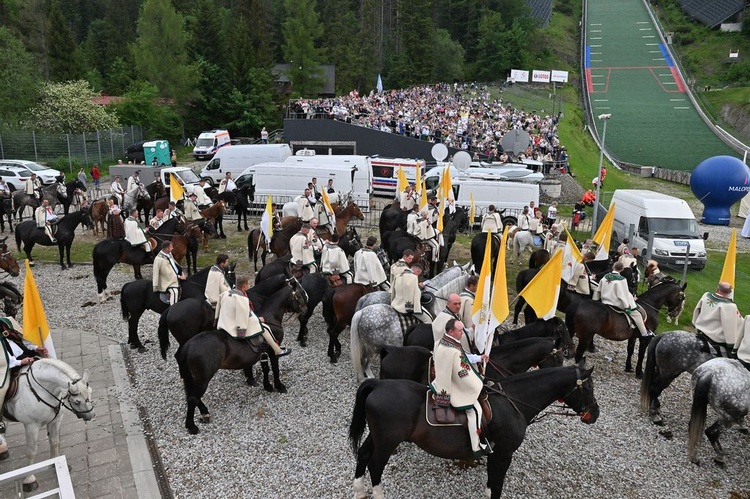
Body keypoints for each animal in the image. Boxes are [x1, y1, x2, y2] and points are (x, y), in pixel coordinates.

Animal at [0, 360, 94, 492]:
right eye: (77, 401)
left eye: (91, 392)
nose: (91, 415)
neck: (40, 390)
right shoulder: (31, 426)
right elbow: (31, 451)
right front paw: (29, 480)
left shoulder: (55, 421)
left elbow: (54, 442)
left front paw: (56, 464)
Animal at [176, 282, 308, 434]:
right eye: (299, 295)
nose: (305, 310)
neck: (270, 318)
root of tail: (189, 344)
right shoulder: (272, 352)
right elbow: (274, 369)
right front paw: (279, 386)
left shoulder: (263, 353)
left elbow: (266, 368)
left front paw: (267, 386)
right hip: (203, 378)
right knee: (193, 398)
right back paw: (191, 426)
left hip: (192, 377)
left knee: (192, 396)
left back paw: (204, 413)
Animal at [350, 364, 604, 499]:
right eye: (588, 388)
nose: (595, 413)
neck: (514, 402)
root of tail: (379, 384)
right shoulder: (503, 454)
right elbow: (497, 485)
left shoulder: (495, 454)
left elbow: (491, 484)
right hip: (387, 441)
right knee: (375, 465)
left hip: (377, 437)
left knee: (362, 455)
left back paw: (359, 491)